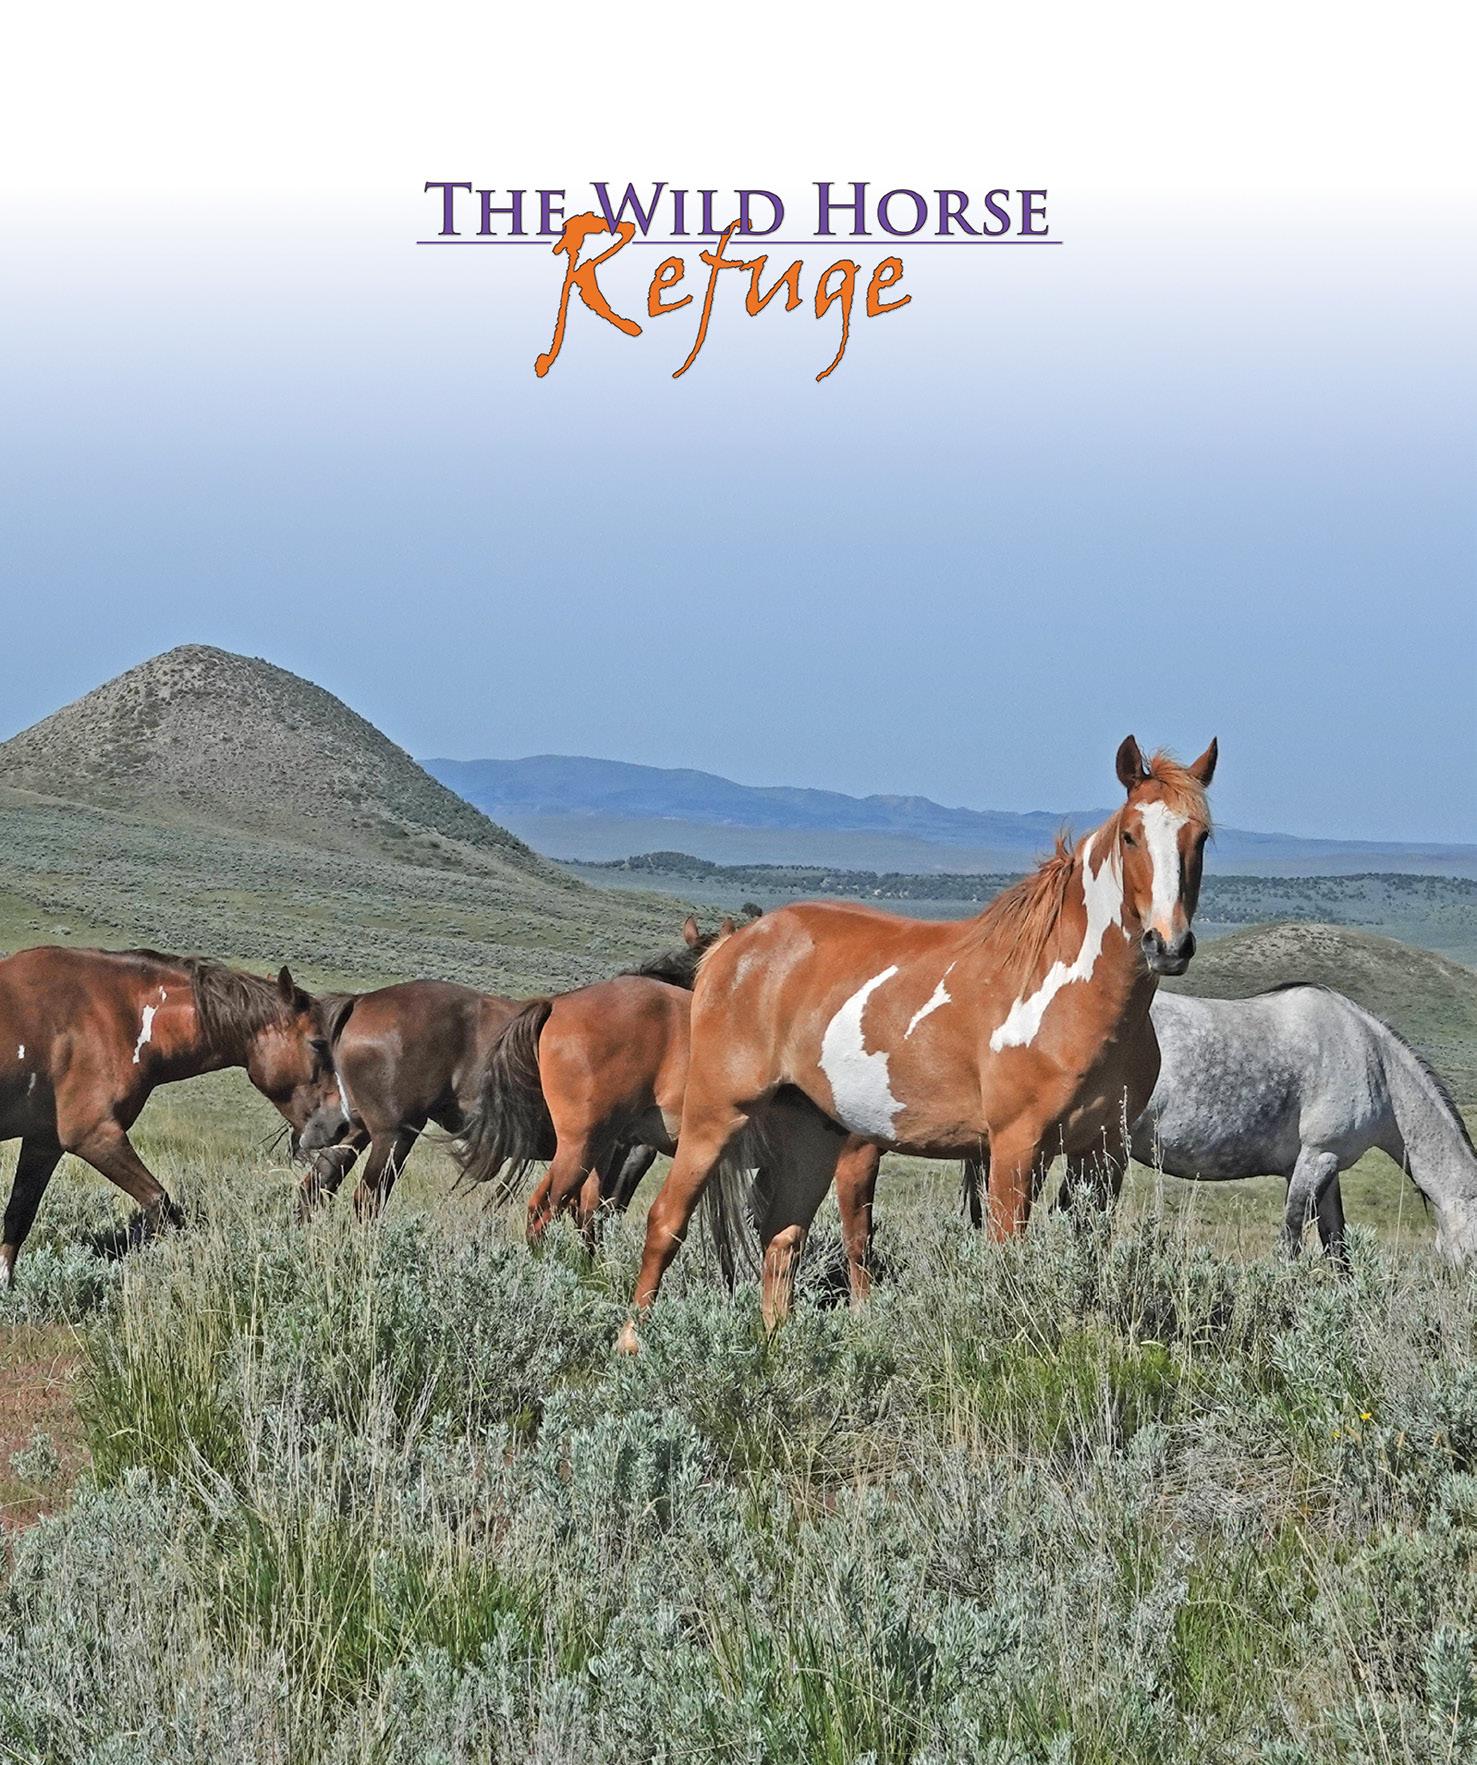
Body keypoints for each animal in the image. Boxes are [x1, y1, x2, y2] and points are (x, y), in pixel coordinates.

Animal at [0, 946, 337, 1286]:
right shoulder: (94, 1136)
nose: (339, 1123)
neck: (112, 1013)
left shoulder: (43, 1142)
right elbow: (159, 1203)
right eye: (319, 1043)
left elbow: (18, 1215)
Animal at [618, 735, 1218, 1347]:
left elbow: (1090, 1253)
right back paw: (630, 1344)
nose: (1168, 944)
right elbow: (1005, 1254)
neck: (1066, 994)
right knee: (666, 1221)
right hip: (715, 1116)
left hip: (811, 1134)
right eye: (1131, 835)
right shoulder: (1015, 1146)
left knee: (782, 1237)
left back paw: (775, 1350)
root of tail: (732, 952)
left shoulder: (1102, 1154)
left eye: (1200, 836)